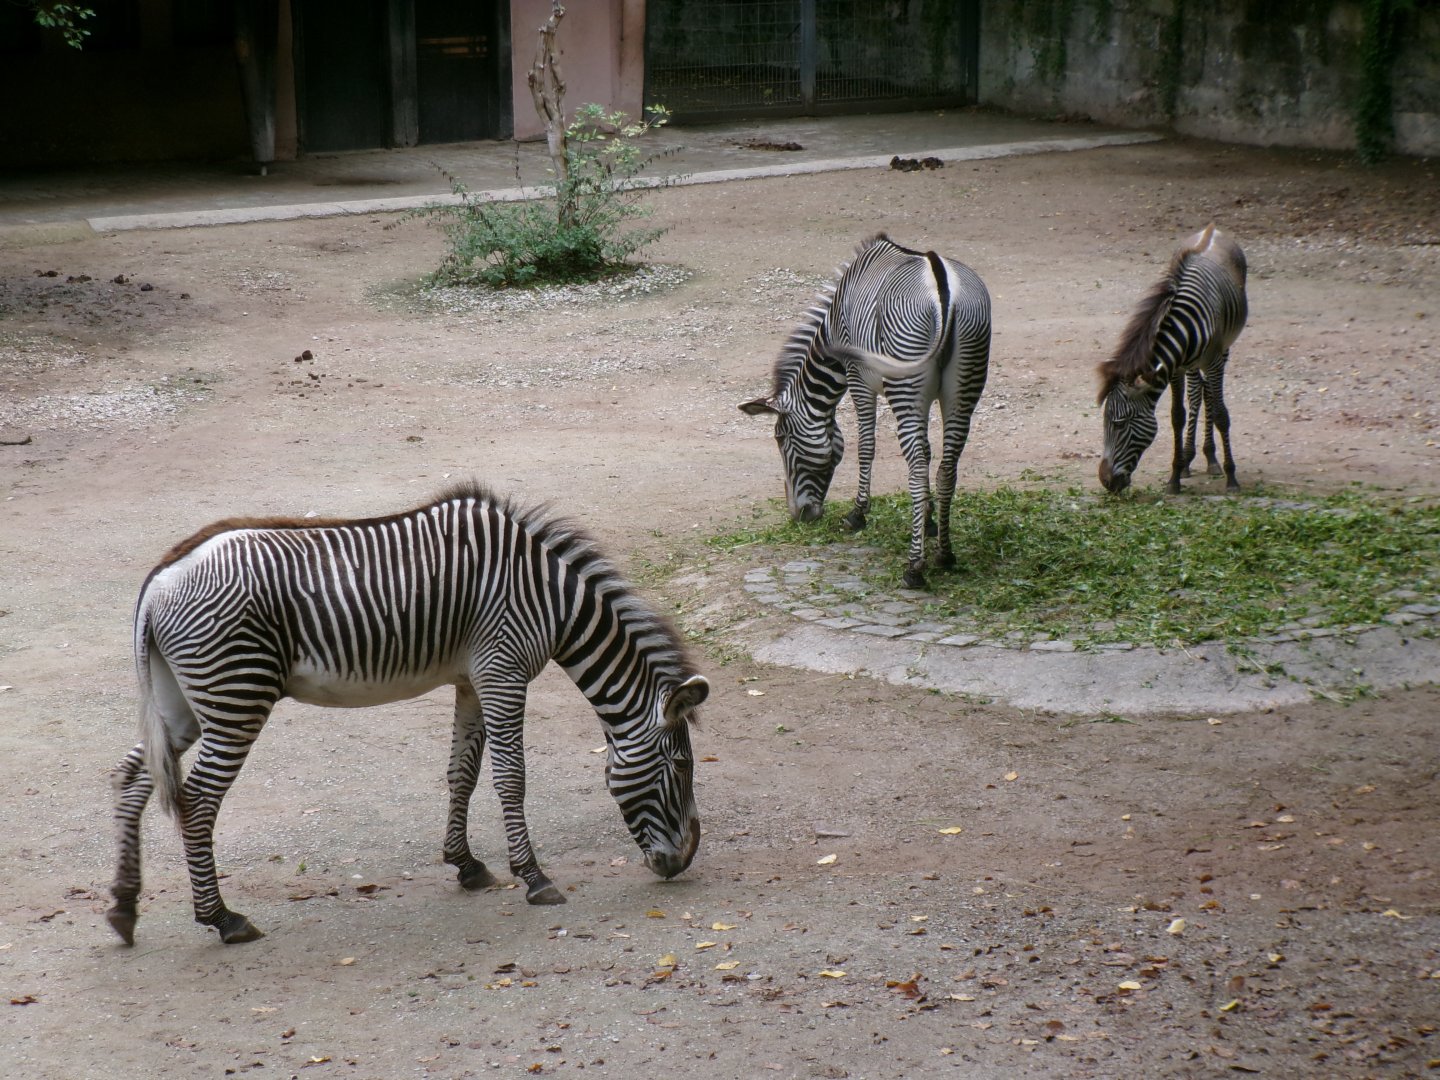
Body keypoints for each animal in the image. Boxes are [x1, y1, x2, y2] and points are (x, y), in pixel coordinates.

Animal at [107, 483, 708, 945]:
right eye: (681, 768)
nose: (682, 863)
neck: (550, 598)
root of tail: (159, 579)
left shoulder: (473, 678)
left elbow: (462, 773)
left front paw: (466, 865)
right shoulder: (503, 669)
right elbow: (511, 778)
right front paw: (534, 878)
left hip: (184, 700)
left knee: (131, 776)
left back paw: (124, 907)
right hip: (236, 696)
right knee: (198, 801)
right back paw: (222, 919)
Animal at [738, 233, 991, 589]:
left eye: (780, 439)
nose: (799, 517)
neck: (833, 326)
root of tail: (943, 287)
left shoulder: (858, 377)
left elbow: (866, 447)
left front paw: (858, 514)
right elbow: (928, 451)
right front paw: (927, 522)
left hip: (905, 380)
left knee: (916, 466)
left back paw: (914, 567)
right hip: (965, 383)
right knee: (946, 467)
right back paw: (945, 555)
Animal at [1097, 224, 1248, 494]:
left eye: (1120, 424)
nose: (1106, 482)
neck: (1183, 327)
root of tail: (1213, 230)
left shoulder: (1213, 362)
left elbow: (1221, 414)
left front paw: (1232, 478)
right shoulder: (1175, 368)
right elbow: (1177, 415)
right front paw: (1175, 477)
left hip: (1222, 351)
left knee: (1210, 394)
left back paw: (1212, 460)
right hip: (1193, 365)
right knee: (1199, 391)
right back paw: (1194, 459)